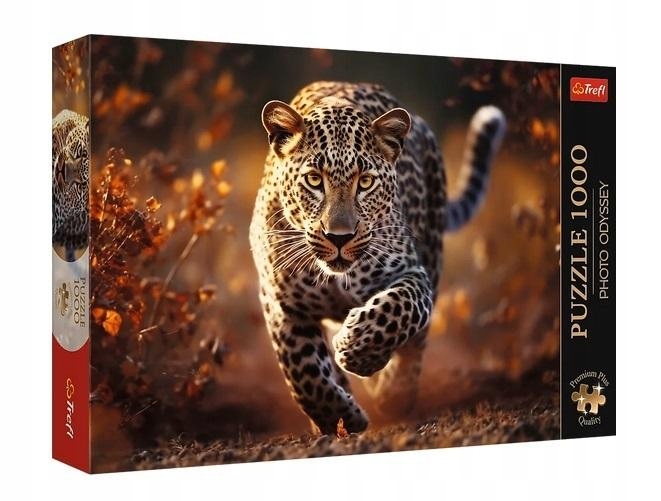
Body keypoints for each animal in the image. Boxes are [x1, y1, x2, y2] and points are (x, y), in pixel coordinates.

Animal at [249, 81, 505, 435]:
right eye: (314, 180)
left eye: (366, 182)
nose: (339, 237)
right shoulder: (281, 304)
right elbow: (304, 373)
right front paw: (339, 418)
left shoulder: (412, 273)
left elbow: (398, 309)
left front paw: (357, 350)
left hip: (433, 252)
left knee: (415, 344)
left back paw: (394, 394)